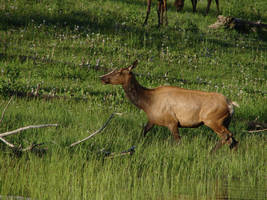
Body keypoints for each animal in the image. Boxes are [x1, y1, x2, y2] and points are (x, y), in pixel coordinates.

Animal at [100, 60, 239, 152]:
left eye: (119, 72)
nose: (101, 77)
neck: (146, 103)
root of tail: (230, 104)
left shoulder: (172, 121)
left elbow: (178, 141)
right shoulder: (153, 119)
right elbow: (143, 132)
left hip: (212, 120)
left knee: (227, 136)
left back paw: (211, 152)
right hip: (225, 121)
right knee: (233, 139)